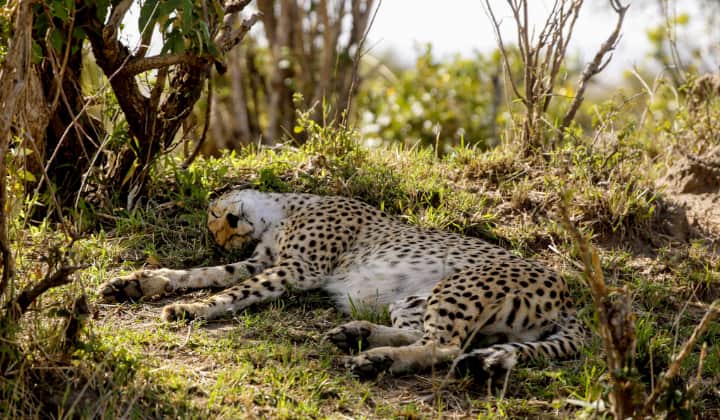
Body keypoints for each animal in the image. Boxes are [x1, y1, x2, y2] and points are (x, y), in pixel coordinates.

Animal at [98, 189, 585, 381]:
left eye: (217, 214)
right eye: (219, 231)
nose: (229, 230)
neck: (284, 210)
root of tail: (566, 292)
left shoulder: (298, 269)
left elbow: (232, 292)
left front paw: (195, 308)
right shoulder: (265, 261)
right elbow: (204, 274)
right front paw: (141, 283)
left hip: (458, 287)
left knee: (447, 347)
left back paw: (372, 359)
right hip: (415, 298)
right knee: (431, 337)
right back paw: (358, 336)